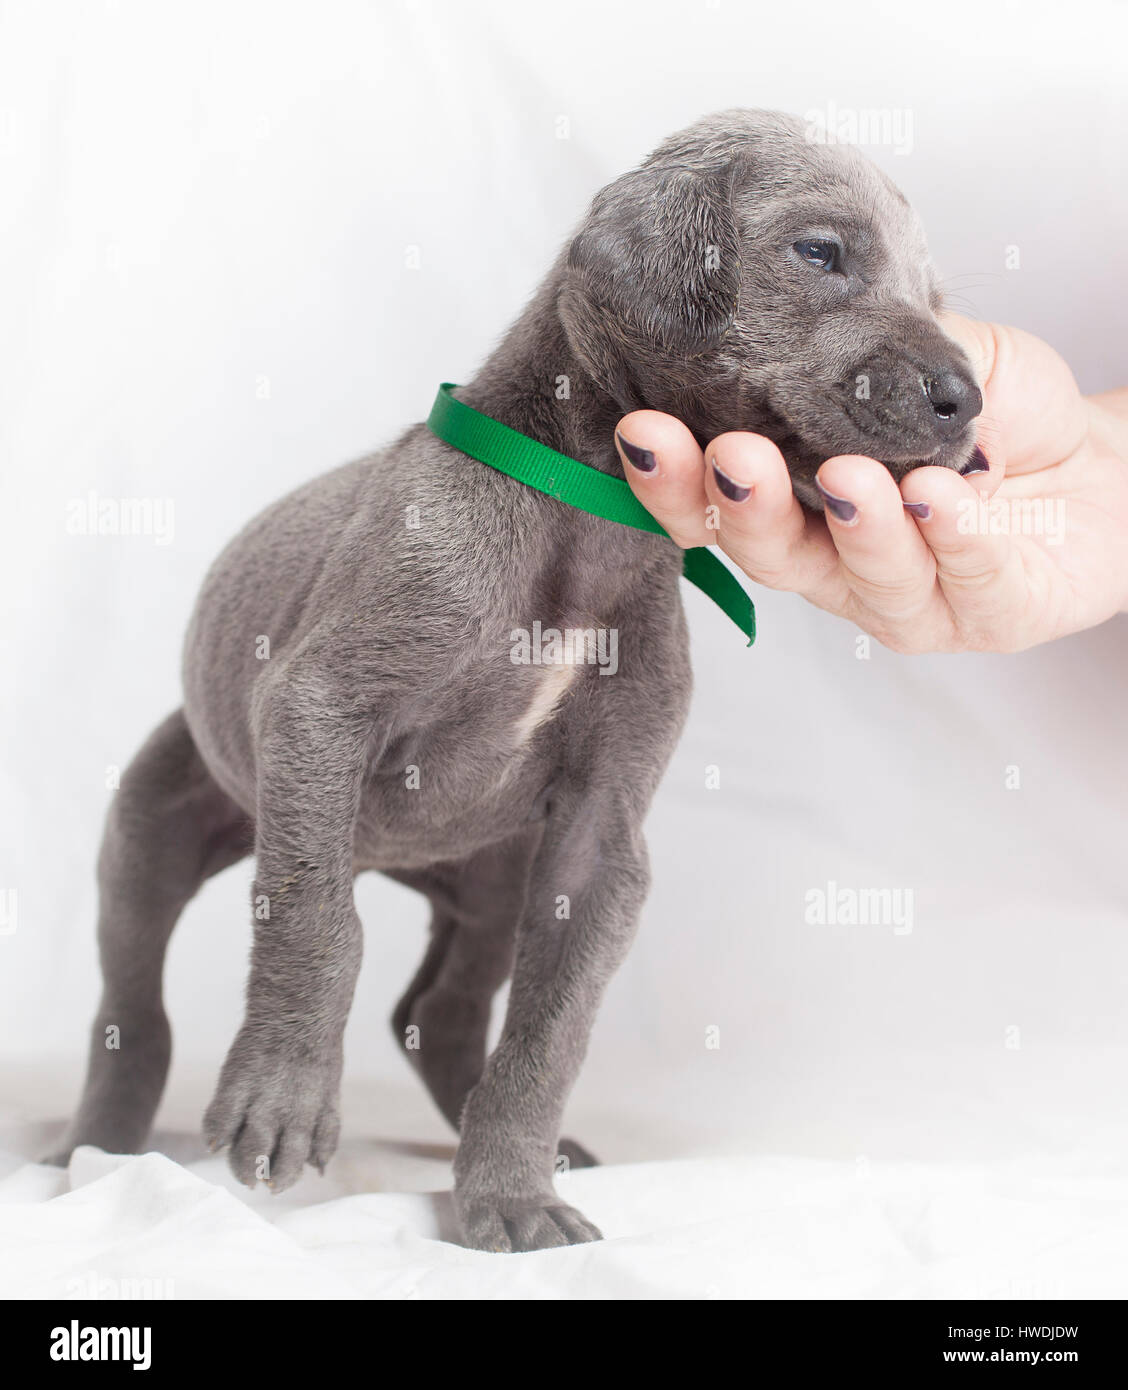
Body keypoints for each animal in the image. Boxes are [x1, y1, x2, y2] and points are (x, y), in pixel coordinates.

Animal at [59, 113, 977, 1256]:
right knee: (133, 1002)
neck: (585, 520)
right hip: (153, 826)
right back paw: (95, 1153)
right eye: (821, 252)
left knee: (439, 1010)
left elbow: (553, 1028)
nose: (967, 400)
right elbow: (317, 920)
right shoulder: (319, 713)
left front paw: (511, 1192)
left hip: (496, 876)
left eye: (933, 292)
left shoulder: (596, 840)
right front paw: (283, 1097)